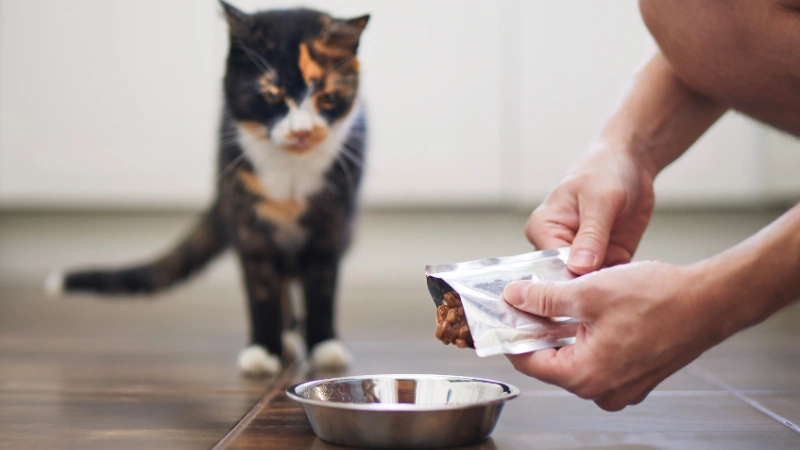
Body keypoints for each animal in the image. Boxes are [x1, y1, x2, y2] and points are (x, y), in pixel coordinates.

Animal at [49, 1, 372, 376]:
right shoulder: (247, 223)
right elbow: (262, 290)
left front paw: (325, 345)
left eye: (326, 96)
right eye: (271, 95)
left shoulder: (332, 221)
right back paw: (287, 338)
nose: (301, 131)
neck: (290, 174)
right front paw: (263, 349)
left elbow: (322, 287)